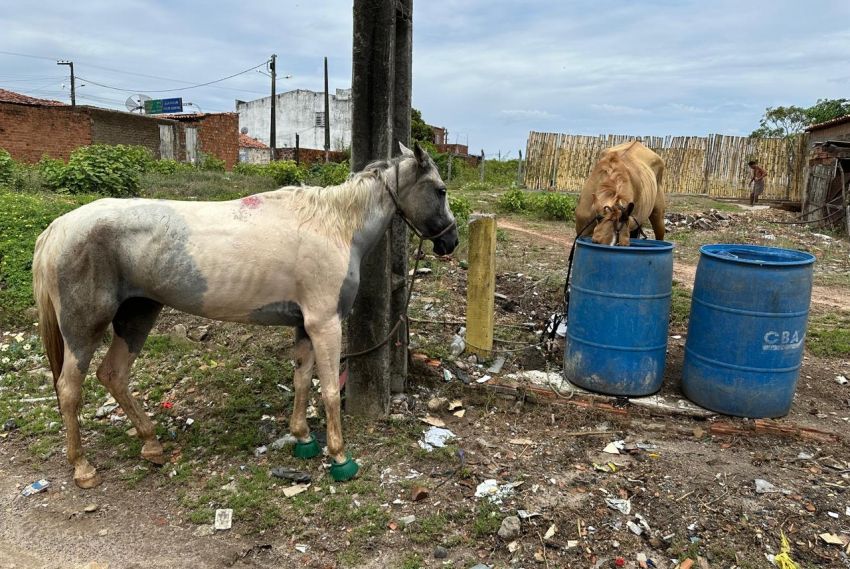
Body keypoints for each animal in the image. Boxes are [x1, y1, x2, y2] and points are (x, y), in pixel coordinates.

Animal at [33, 142, 458, 488]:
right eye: (440, 190)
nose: (450, 242)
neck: (334, 226)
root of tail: (58, 228)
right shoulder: (325, 323)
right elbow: (329, 390)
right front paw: (339, 458)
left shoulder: (305, 326)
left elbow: (302, 381)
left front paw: (303, 438)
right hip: (84, 330)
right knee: (69, 390)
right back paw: (83, 467)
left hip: (137, 316)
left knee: (114, 375)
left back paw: (151, 444)